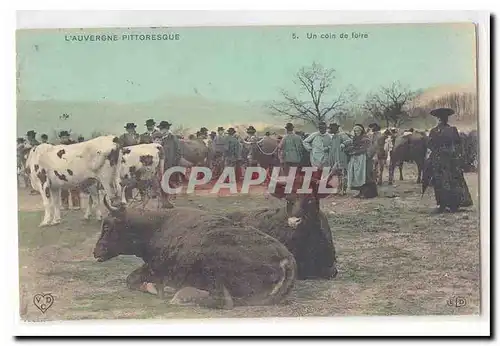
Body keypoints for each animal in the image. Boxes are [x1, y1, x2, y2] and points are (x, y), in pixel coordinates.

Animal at [94, 196, 296, 310]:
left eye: (107, 226)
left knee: (223, 301)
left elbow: (133, 280)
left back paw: (181, 296)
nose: (96, 252)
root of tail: (286, 259)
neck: (157, 226)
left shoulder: (156, 269)